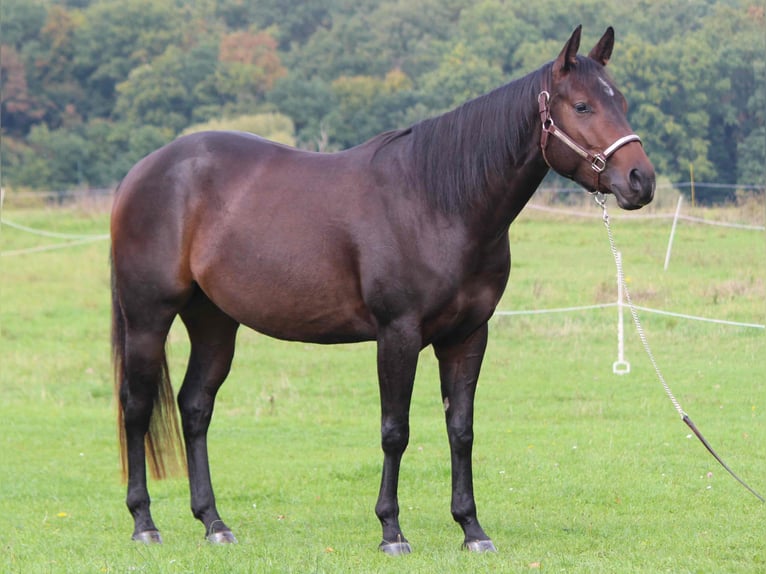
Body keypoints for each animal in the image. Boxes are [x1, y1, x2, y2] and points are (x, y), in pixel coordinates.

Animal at [111, 25, 655, 554]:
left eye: (622, 101)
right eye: (582, 106)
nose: (641, 180)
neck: (437, 203)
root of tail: (141, 172)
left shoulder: (468, 336)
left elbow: (461, 430)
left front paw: (472, 529)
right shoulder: (398, 333)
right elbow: (396, 431)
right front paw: (392, 531)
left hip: (214, 321)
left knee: (195, 406)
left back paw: (213, 523)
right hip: (148, 318)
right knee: (136, 407)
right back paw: (143, 523)